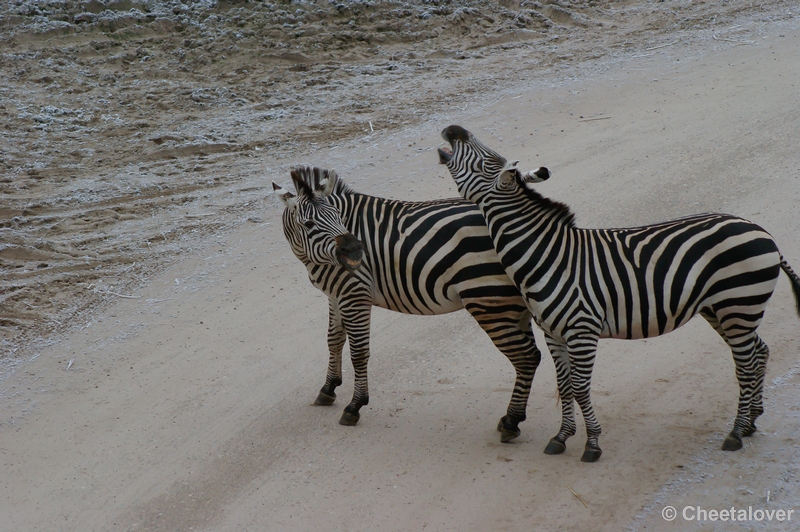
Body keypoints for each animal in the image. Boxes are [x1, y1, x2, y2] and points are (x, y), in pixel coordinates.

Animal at [274, 165, 544, 440]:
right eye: (309, 223)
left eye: (338, 216)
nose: (356, 252)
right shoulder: (336, 295)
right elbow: (334, 340)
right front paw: (328, 389)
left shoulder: (355, 293)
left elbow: (358, 352)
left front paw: (355, 405)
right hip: (515, 303)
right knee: (532, 356)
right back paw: (512, 419)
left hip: (489, 297)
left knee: (526, 356)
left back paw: (511, 421)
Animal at [438, 124, 800, 462]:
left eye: (487, 161)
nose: (454, 129)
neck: (547, 255)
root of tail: (761, 232)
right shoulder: (553, 333)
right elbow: (564, 385)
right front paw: (561, 437)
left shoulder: (582, 330)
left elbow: (580, 387)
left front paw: (593, 444)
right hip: (724, 309)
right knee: (759, 352)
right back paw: (751, 422)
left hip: (738, 304)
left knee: (746, 365)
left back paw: (736, 432)